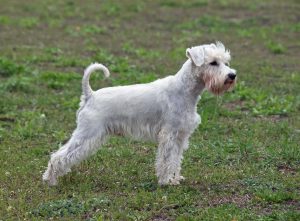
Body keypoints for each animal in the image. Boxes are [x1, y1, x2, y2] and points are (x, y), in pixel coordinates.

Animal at [42, 41, 237, 186]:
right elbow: (166, 159)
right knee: (58, 156)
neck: (184, 90)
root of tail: (90, 95)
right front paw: (166, 181)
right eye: (213, 62)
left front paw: (175, 178)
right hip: (86, 134)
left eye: (225, 61)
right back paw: (51, 180)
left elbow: (175, 159)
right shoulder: (168, 135)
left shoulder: (180, 136)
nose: (232, 75)